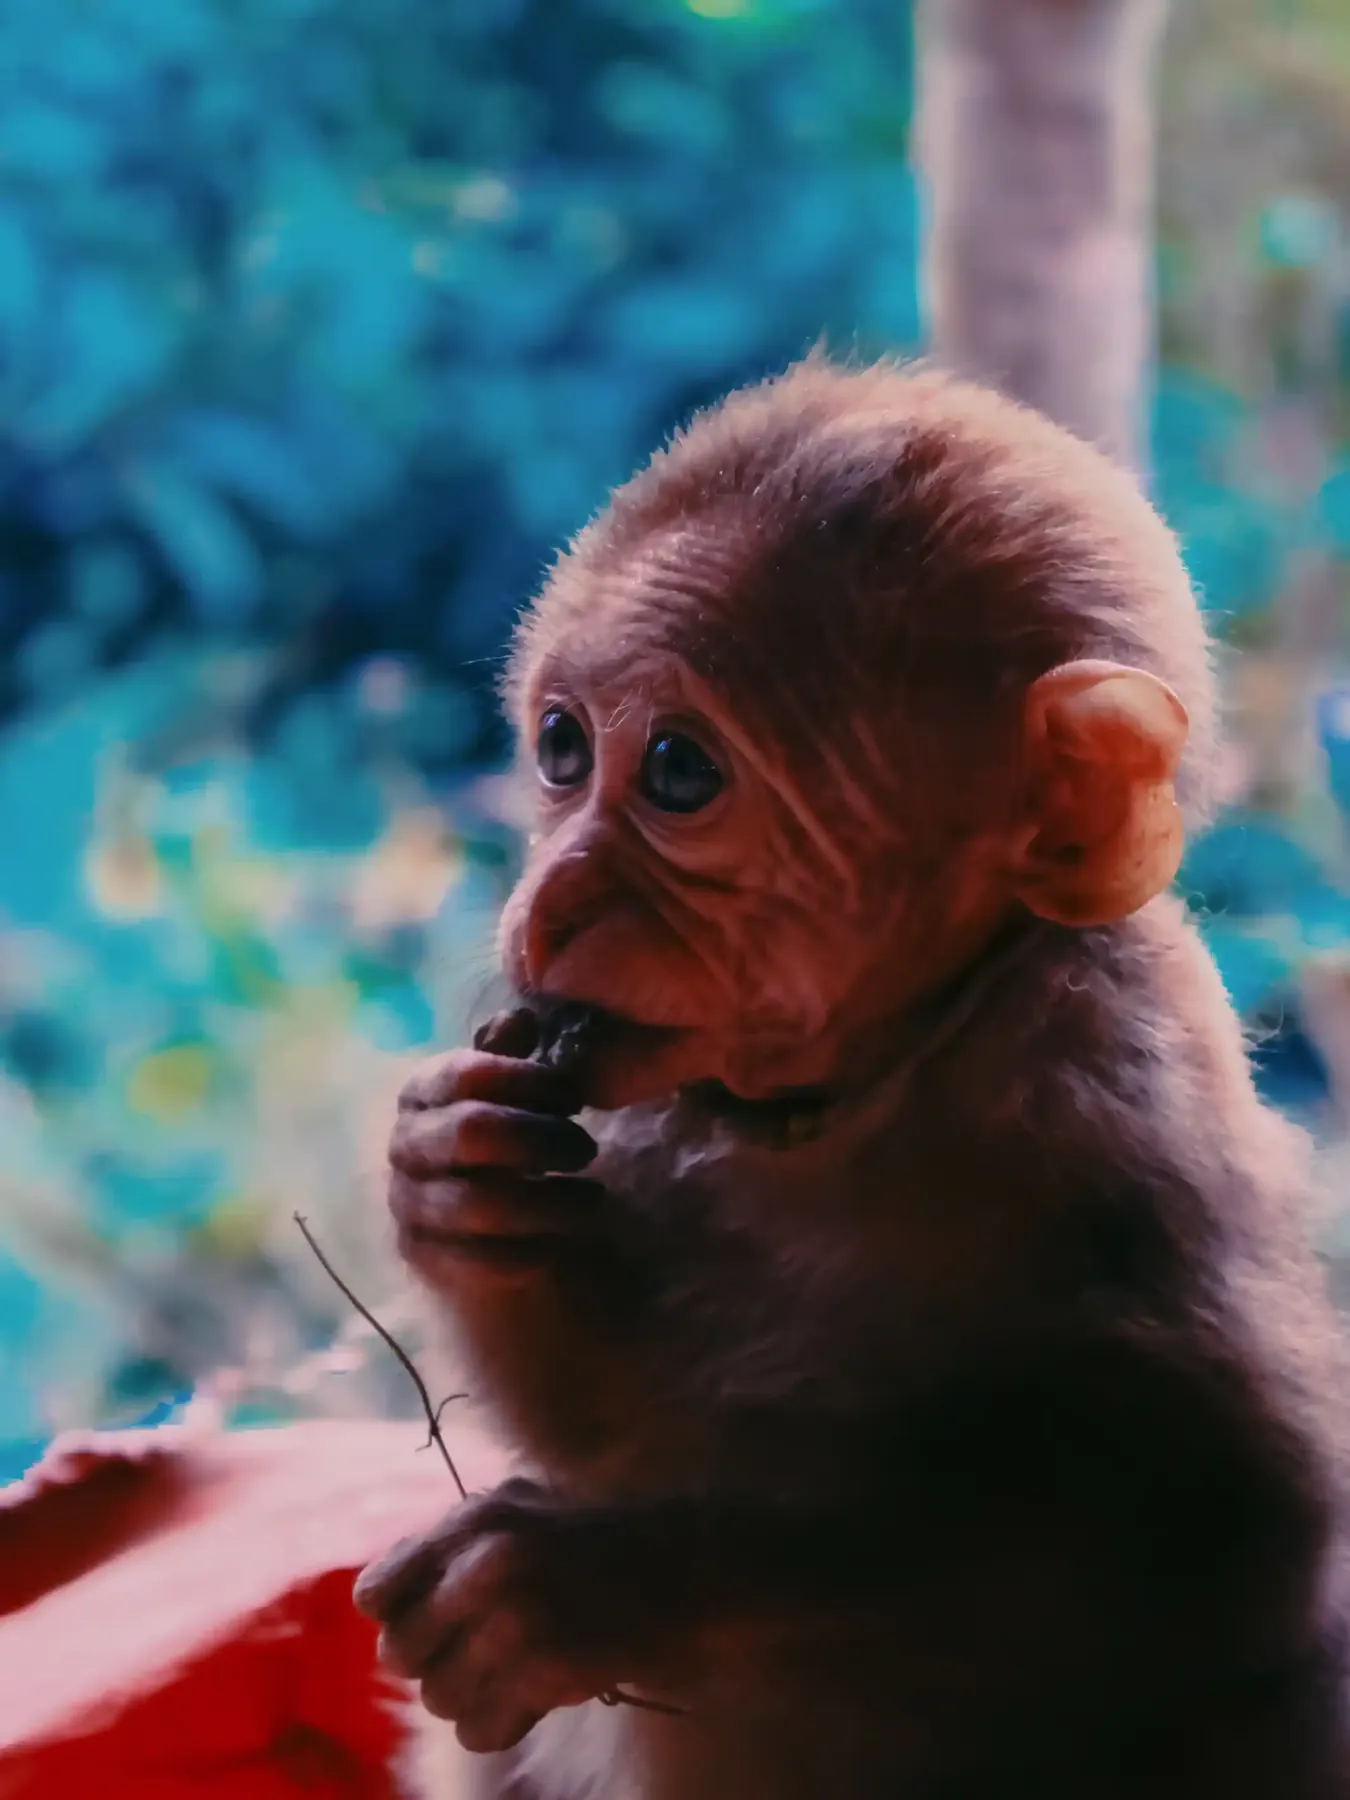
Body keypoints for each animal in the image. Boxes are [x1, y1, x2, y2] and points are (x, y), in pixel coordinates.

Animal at [355, 355, 1350, 1800]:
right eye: (559, 748)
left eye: (678, 771)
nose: (546, 903)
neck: (872, 1075)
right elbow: (602, 1424)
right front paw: (448, 1174)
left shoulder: (1120, 1102)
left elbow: (1232, 1536)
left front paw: (595, 1586)